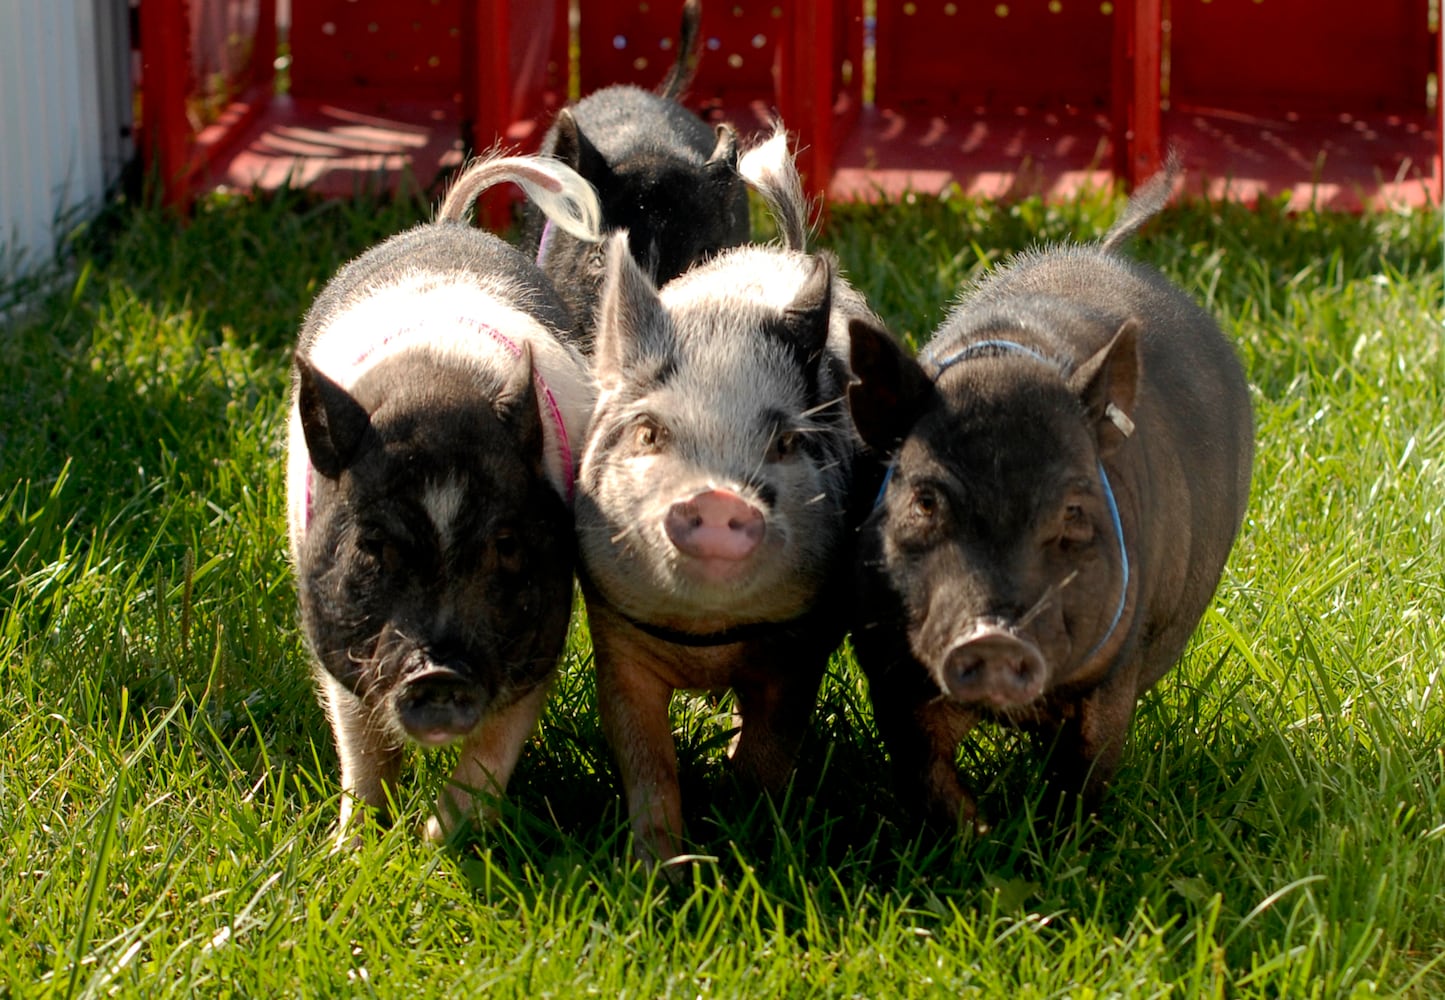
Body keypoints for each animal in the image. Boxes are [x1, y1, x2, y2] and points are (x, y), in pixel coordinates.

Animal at [287, 152, 604, 849]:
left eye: (506, 543)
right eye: (370, 545)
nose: (438, 672)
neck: (435, 386)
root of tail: (448, 224)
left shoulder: (539, 636)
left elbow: (491, 752)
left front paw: (441, 842)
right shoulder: (338, 639)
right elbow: (362, 749)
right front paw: (350, 849)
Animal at [843, 158, 1254, 838]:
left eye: (1072, 512)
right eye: (925, 501)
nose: (993, 636)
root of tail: (1106, 249)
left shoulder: (1117, 665)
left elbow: (1086, 769)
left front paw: (1059, 844)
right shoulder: (890, 664)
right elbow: (924, 772)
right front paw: (976, 841)